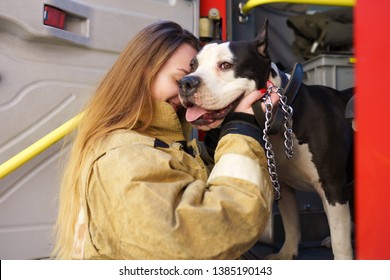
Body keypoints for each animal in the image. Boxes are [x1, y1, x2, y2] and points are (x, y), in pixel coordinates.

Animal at [178, 20, 354, 260]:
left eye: (226, 65)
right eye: (192, 66)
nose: (185, 82)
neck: (282, 119)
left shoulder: (332, 185)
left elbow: (340, 237)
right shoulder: (284, 187)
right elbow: (291, 223)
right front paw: (287, 253)